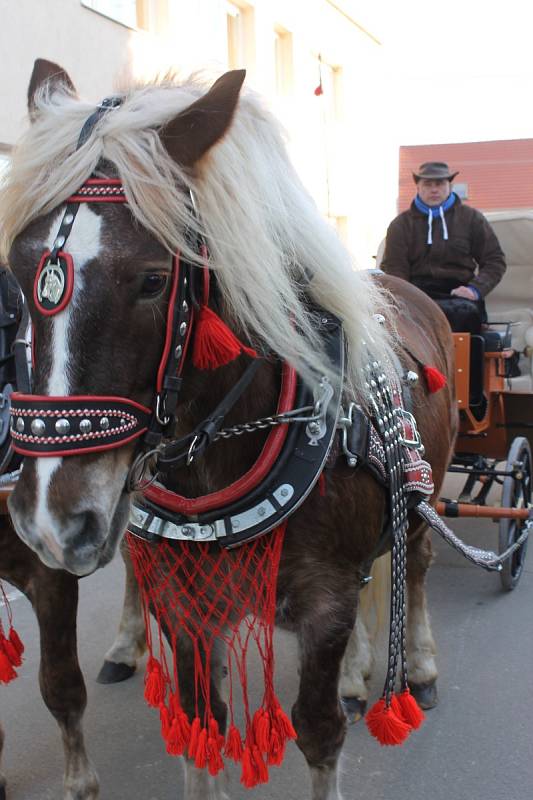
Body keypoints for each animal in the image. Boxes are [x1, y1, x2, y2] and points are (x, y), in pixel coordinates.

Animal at [1, 62, 458, 800]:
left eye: (152, 280)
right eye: (16, 274)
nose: (50, 522)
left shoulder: (324, 604)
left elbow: (319, 731)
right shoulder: (183, 601)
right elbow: (200, 721)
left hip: (421, 496)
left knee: (413, 566)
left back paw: (414, 664)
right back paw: (361, 671)